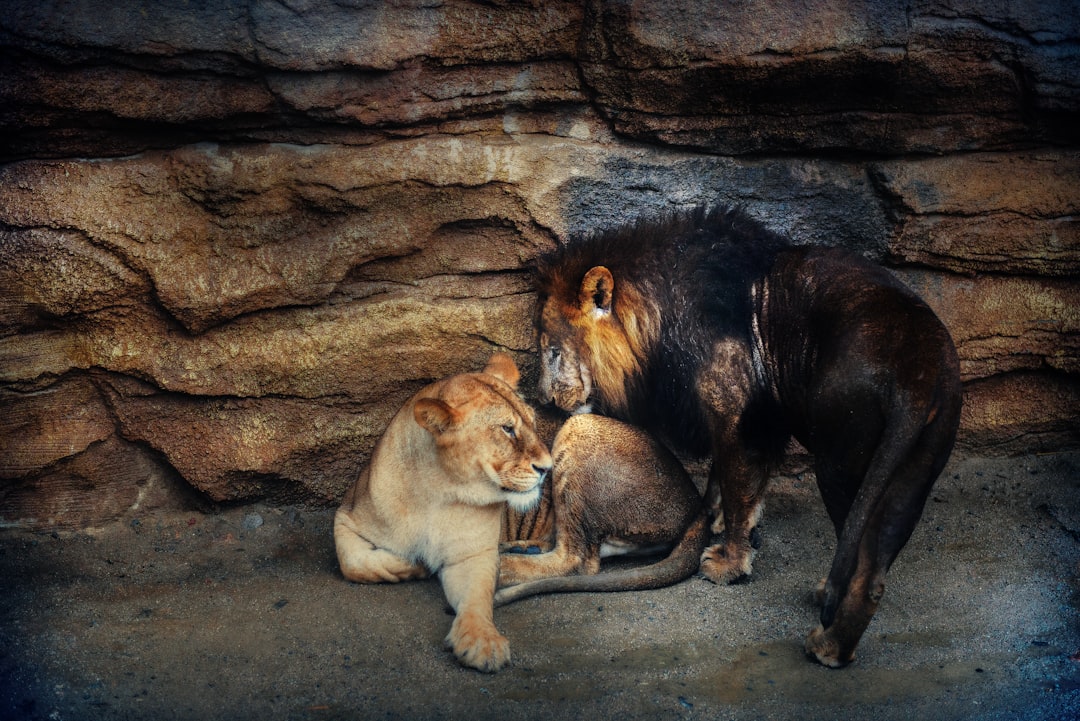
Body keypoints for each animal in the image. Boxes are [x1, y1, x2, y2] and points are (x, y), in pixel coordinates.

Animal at [333, 352, 552, 673]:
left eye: (532, 422)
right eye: (507, 429)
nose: (548, 468)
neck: (436, 491)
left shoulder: (473, 554)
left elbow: (477, 598)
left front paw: (482, 641)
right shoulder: (346, 515)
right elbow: (352, 562)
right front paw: (415, 565)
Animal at [534, 206, 962, 667]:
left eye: (552, 350)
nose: (542, 398)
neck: (658, 315)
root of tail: (918, 372)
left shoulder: (734, 409)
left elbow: (739, 490)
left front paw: (729, 563)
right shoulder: (740, 418)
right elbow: (722, 480)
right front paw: (712, 519)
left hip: (840, 463)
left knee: (862, 565)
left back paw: (827, 646)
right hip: (913, 474)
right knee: (876, 572)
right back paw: (832, 624)